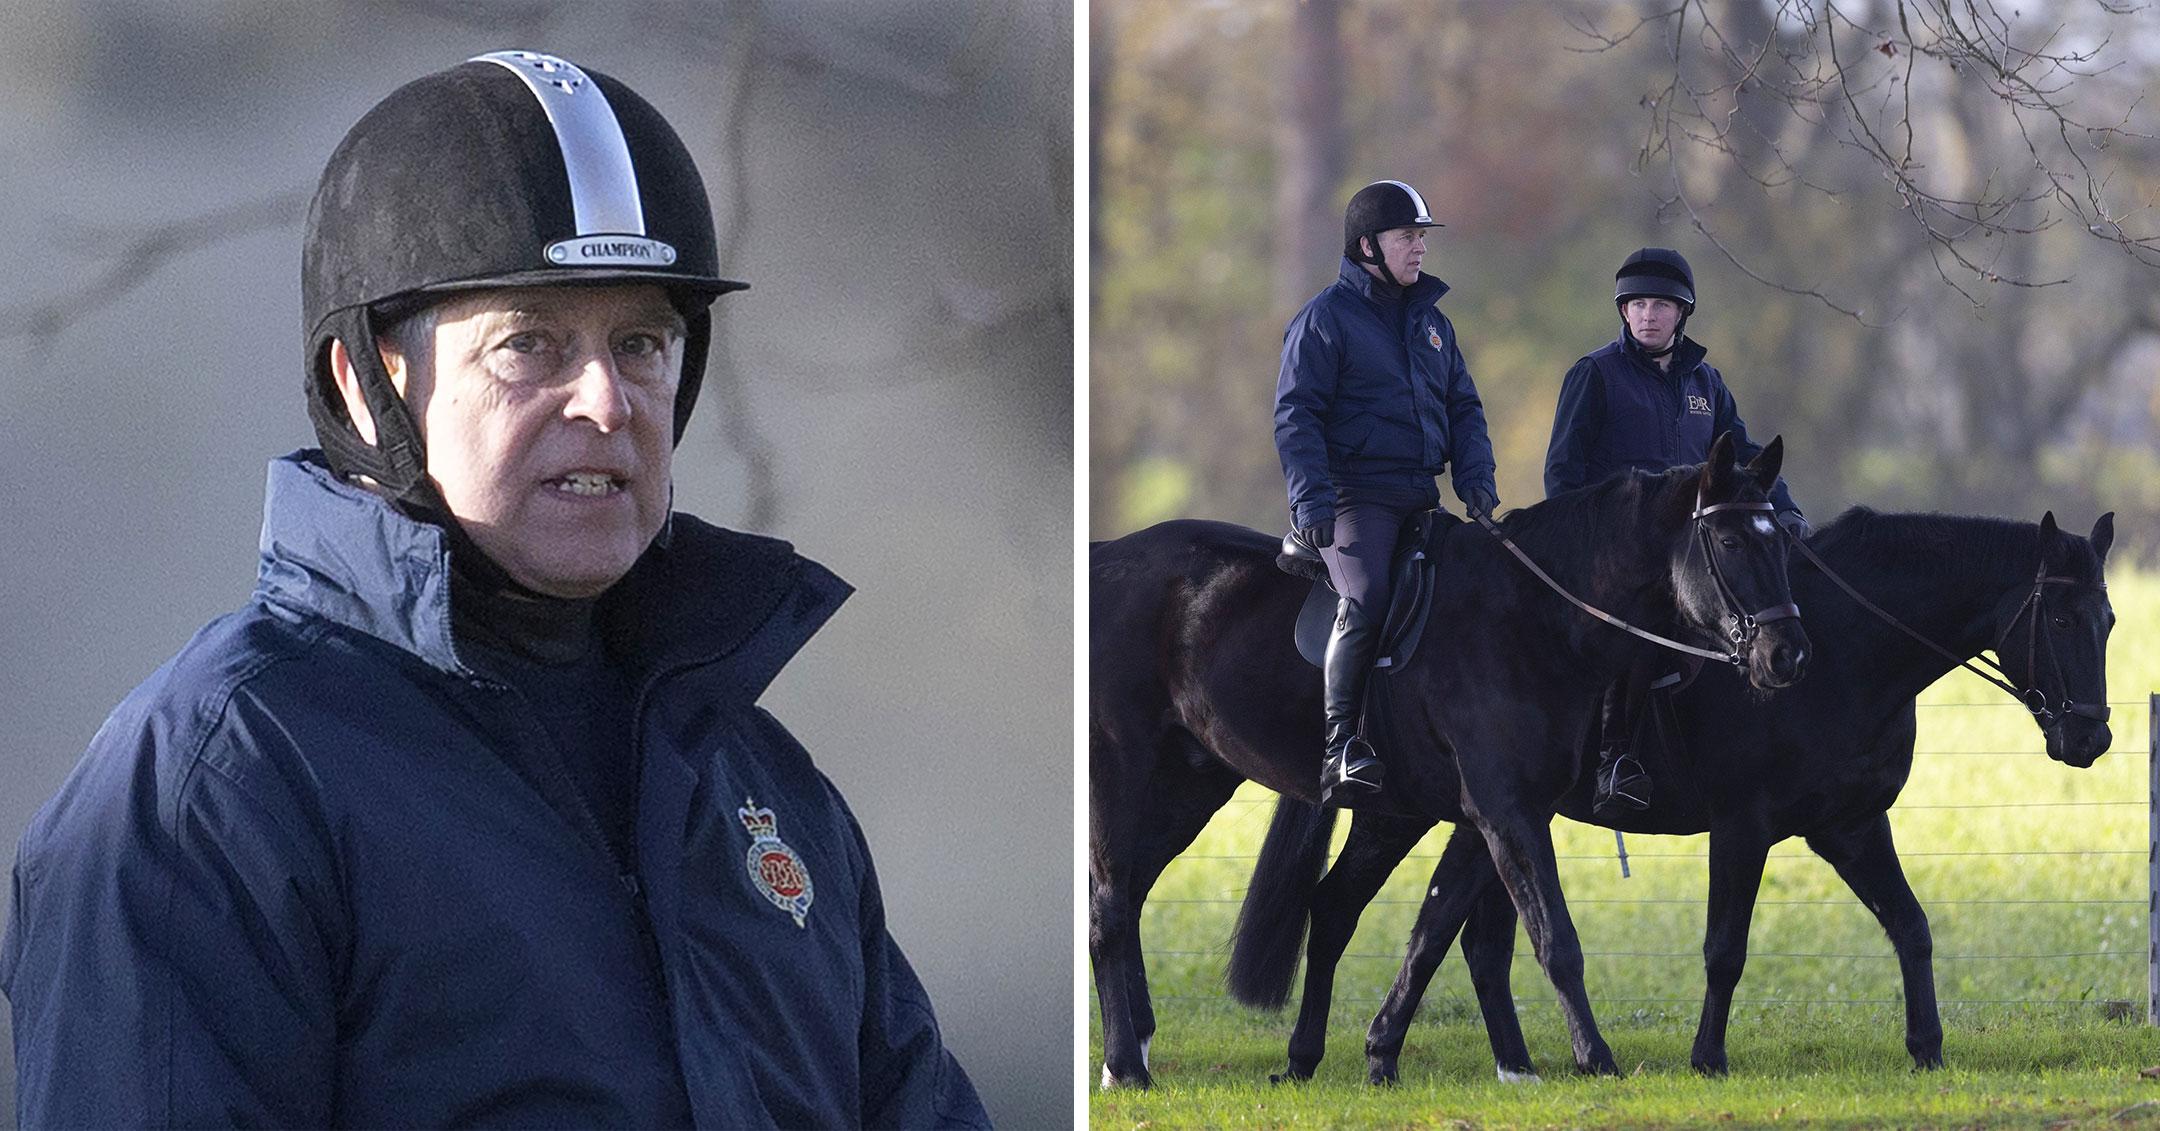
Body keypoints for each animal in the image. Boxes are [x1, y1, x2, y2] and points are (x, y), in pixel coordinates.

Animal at [1088, 435, 1814, 1087]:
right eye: (1729, 543)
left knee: (1153, 895)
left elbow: (1432, 932)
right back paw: (1127, 1066)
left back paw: (1194, 1052)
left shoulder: (1497, 814)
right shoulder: (1506, 811)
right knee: (1110, 908)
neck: (1535, 619)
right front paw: (1596, 1059)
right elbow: (1556, 939)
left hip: (1193, 785)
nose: (1788, 655)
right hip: (1123, 774)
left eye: (1782, 541)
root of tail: (1106, 557)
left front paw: (1381, 1056)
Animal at [1235, 507, 2108, 1083]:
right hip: (1433, 812)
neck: (1838, 654)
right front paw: (1707, 1056)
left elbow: (1912, 925)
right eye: (2063, 618)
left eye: (2105, 618)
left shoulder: (1852, 826)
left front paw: (1926, 1046)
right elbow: (1726, 947)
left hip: (1448, 817)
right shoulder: (1744, 825)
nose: (2090, 738)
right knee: (1388, 917)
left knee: (1422, 925)